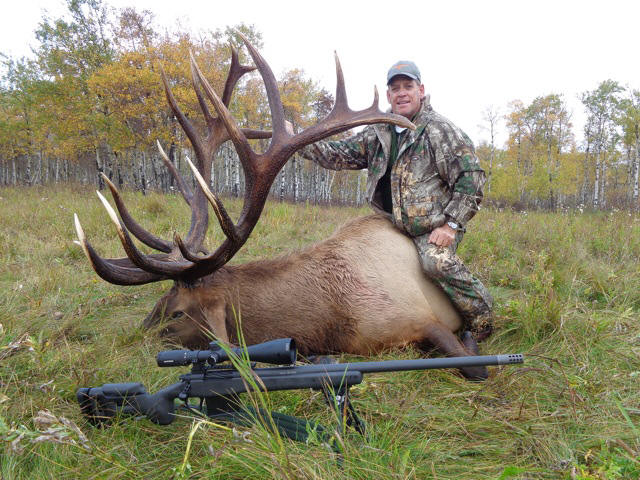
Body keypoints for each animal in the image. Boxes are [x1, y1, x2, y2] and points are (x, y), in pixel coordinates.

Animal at [73, 35, 488, 380]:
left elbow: (474, 365)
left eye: (176, 313)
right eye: (160, 299)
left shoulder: (423, 319)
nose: (135, 337)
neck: (334, 321)